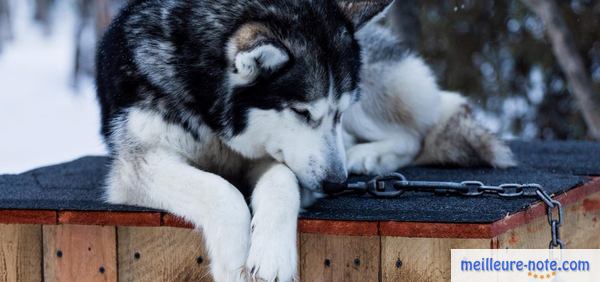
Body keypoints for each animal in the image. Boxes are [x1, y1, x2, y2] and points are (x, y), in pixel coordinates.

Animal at [96, 0, 512, 280]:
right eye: (301, 112)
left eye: (337, 111)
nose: (336, 183)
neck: (214, 118)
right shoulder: (141, 161)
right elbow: (220, 190)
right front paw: (234, 258)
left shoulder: (275, 154)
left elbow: (281, 181)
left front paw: (272, 254)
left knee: (413, 135)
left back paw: (367, 158)